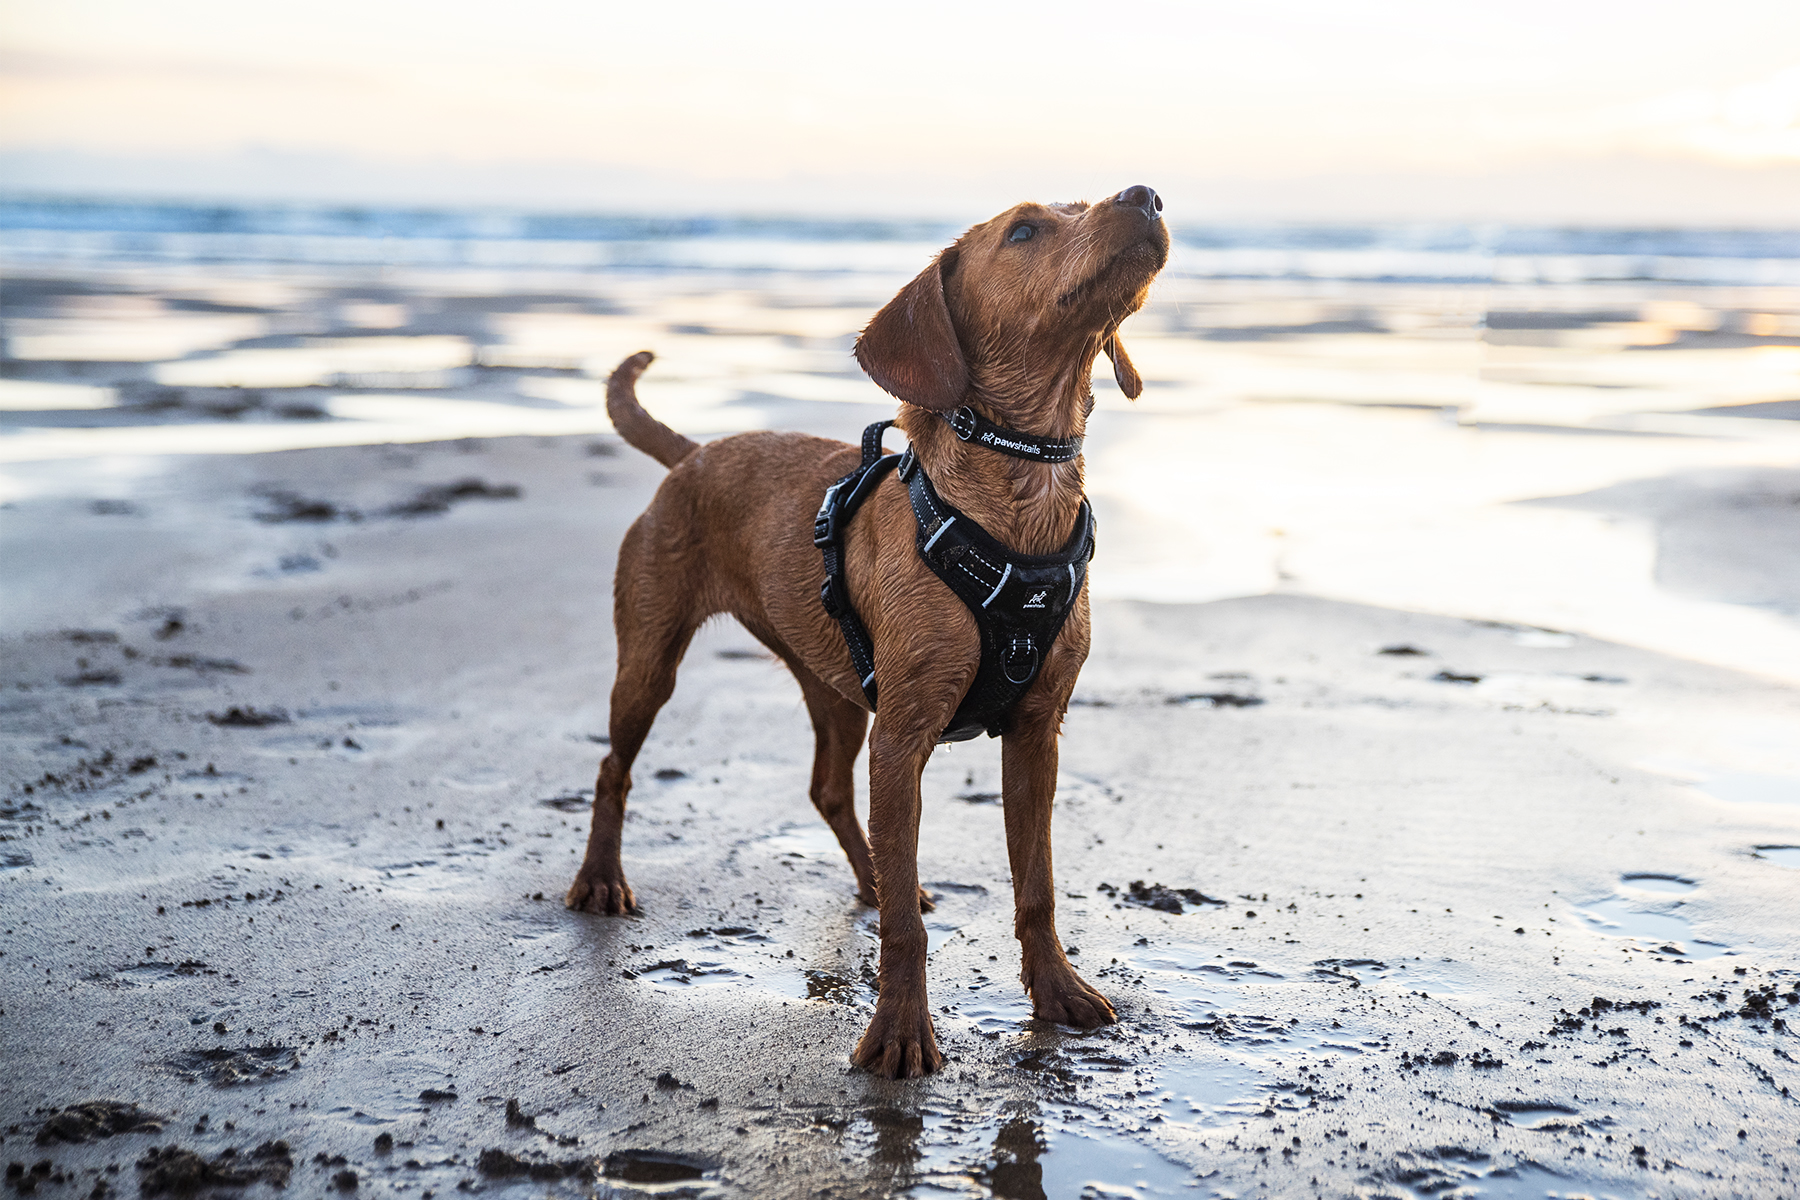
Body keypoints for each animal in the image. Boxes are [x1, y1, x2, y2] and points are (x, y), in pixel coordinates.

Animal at [568, 185, 1173, 1079]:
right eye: (1026, 229)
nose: (1146, 194)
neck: (1018, 499)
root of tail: (695, 455)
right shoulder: (905, 737)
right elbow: (906, 934)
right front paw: (898, 1032)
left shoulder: (1036, 734)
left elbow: (1035, 886)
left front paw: (1058, 992)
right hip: (651, 662)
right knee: (615, 767)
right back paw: (601, 881)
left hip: (838, 689)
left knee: (830, 792)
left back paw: (876, 875)